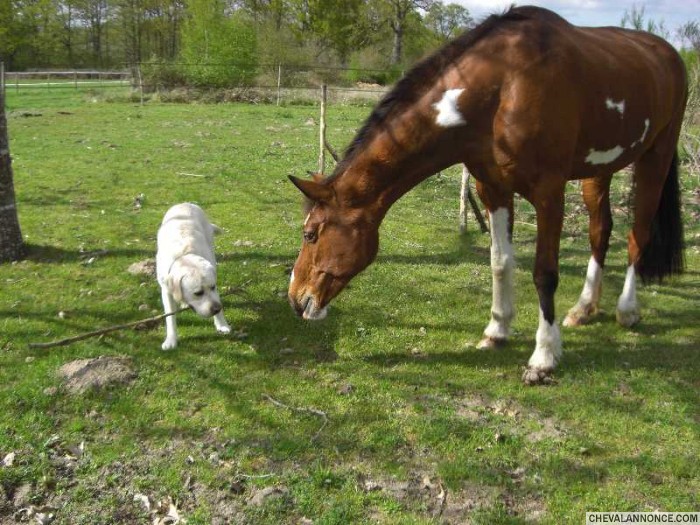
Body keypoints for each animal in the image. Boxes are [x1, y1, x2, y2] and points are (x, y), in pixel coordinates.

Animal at [155, 203, 230, 350]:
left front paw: (222, 325)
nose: (217, 308)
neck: (185, 256)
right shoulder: (166, 290)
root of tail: (184, 203)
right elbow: (170, 317)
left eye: (213, 287)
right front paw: (171, 340)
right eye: (198, 293)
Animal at [288, 6, 688, 384]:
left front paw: (543, 357)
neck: (504, 85)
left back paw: (627, 310)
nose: (295, 299)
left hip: (655, 158)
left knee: (638, 235)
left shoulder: (549, 193)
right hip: (598, 169)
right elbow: (500, 261)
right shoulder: (492, 189)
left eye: (310, 234)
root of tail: (668, 53)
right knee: (600, 232)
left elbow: (544, 273)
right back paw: (584, 308)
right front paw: (497, 330)